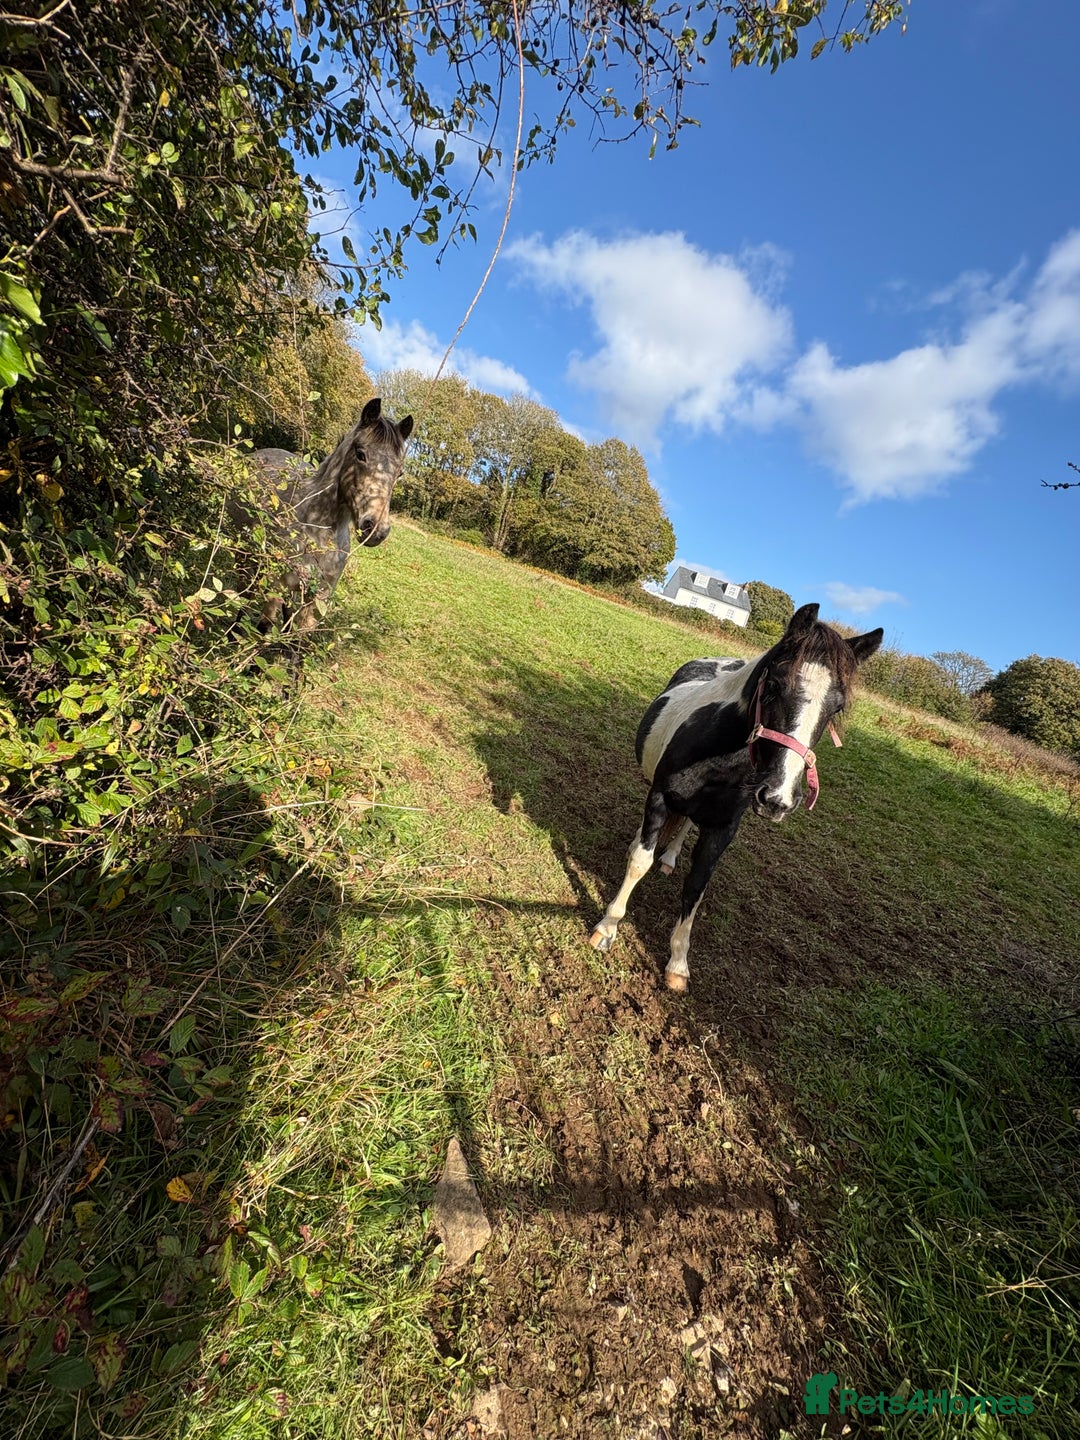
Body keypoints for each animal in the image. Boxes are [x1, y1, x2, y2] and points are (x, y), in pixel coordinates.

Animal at [247, 396, 413, 631]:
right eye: (361, 454)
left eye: (400, 472)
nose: (376, 530)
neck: (318, 531)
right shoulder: (274, 587)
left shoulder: (316, 601)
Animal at [588, 603, 883, 991]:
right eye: (773, 686)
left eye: (835, 709)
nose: (778, 798)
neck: (721, 761)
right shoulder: (660, 797)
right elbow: (640, 861)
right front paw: (607, 927)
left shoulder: (724, 828)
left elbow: (696, 885)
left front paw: (678, 964)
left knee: (683, 828)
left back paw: (669, 857)